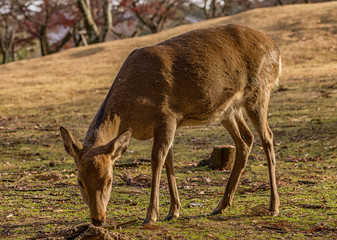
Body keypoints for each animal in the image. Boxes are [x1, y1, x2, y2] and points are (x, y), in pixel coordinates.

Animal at [59, 23, 280, 225]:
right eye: (80, 181)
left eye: (109, 180)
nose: (98, 219)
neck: (131, 110)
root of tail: (275, 49)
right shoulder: (166, 125)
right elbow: (169, 160)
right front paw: (173, 211)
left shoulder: (167, 116)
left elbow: (157, 160)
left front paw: (151, 215)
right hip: (227, 109)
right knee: (245, 139)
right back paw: (221, 206)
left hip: (259, 91)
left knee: (267, 137)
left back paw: (273, 205)